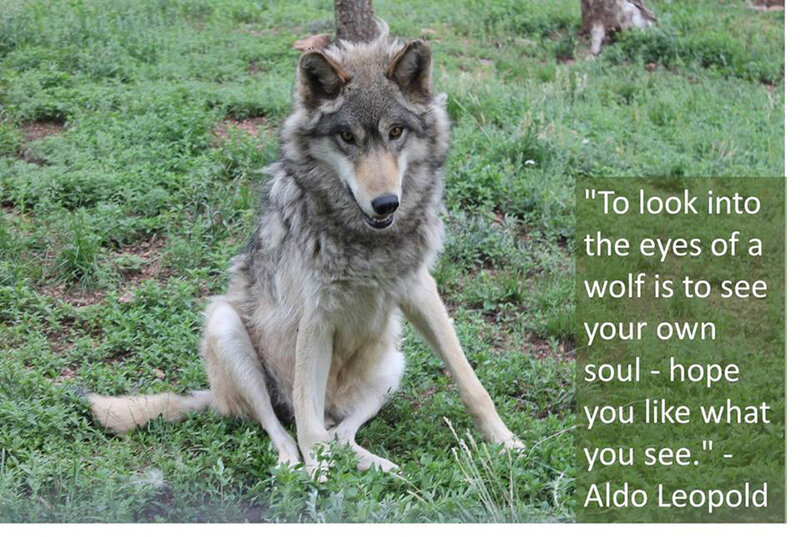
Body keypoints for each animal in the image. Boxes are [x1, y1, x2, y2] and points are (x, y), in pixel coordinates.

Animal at [88, 28, 523, 474]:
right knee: (283, 427)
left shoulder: (419, 289)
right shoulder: (315, 319)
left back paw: (381, 465)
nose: (386, 204)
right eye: (347, 137)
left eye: (395, 132)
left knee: (341, 433)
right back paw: (294, 466)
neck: (365, 242)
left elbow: (470, 381)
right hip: (227, 329)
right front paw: (317, 477)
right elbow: (305, 424)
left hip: (393, 365)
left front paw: (507, 443)